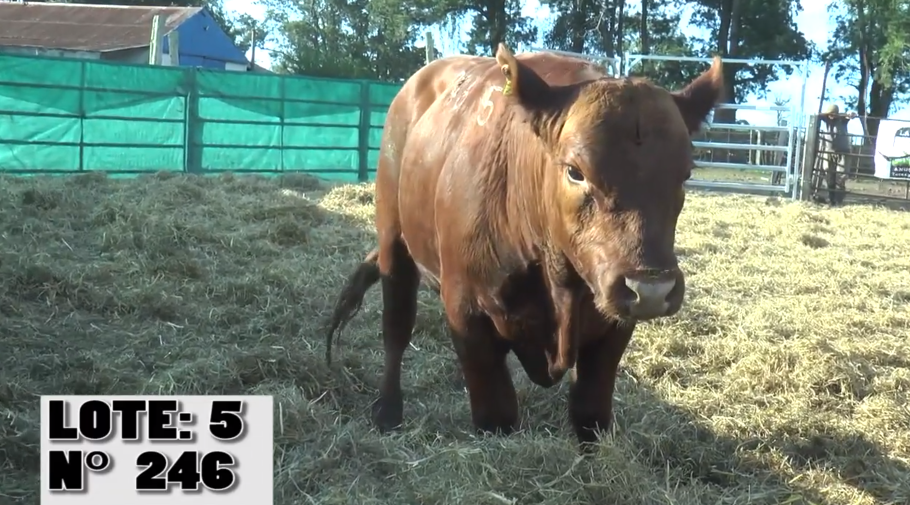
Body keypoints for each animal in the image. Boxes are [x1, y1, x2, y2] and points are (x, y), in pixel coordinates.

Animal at [324, 44, 724, 444]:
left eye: (685, 174)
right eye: (575, 171)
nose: (651, 289)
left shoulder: (612, 329)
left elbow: (590, 413)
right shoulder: (467, 315)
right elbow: (495, 415)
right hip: (394, 238)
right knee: (396, 327)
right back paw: (388, 412)